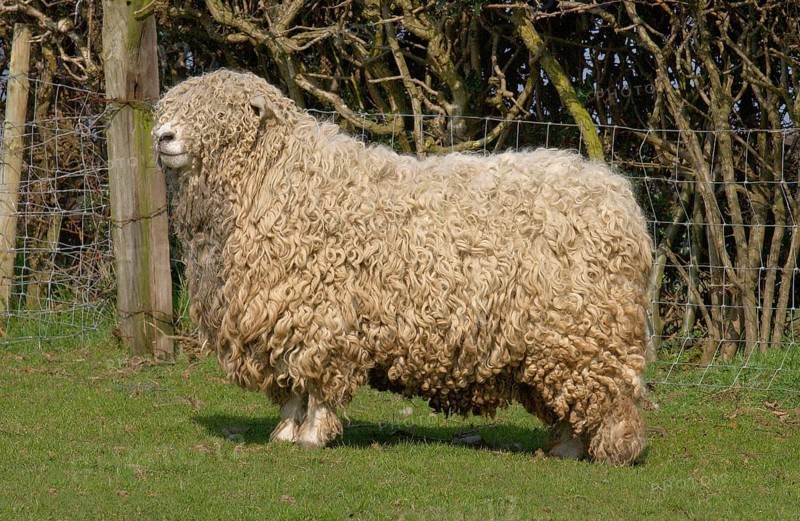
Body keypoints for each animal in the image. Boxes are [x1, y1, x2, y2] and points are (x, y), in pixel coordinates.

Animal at [154, 69, 653, 465]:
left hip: (586, 330)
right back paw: (565, 448)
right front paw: (285, 433)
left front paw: (311, 436)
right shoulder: (281, 314)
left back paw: (604, 450)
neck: (280, 179)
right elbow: (292, 386)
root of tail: (619, 198)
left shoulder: (321, 317)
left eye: (222, 113)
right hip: (560, 339)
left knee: (610, 396)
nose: (163, 137)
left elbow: (315, 384)